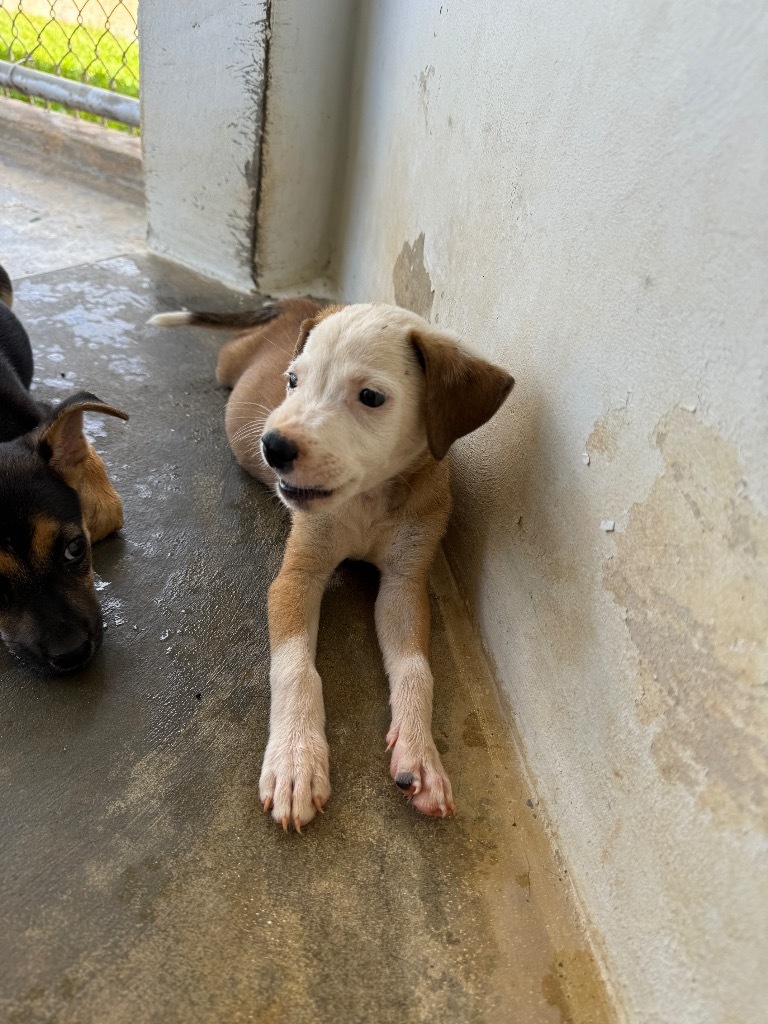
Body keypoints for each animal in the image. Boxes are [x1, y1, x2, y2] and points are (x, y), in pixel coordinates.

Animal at [151, 299, 514, 827]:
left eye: (370, 397)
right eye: (293, 381)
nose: (272, 446)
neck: (368, 498)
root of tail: (299, 301)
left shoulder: (404, 585)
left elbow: (417, 671)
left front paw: (420, 754)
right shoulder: (296, 578)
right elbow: (296, 669)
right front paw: (295, 760)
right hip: (231, 363)